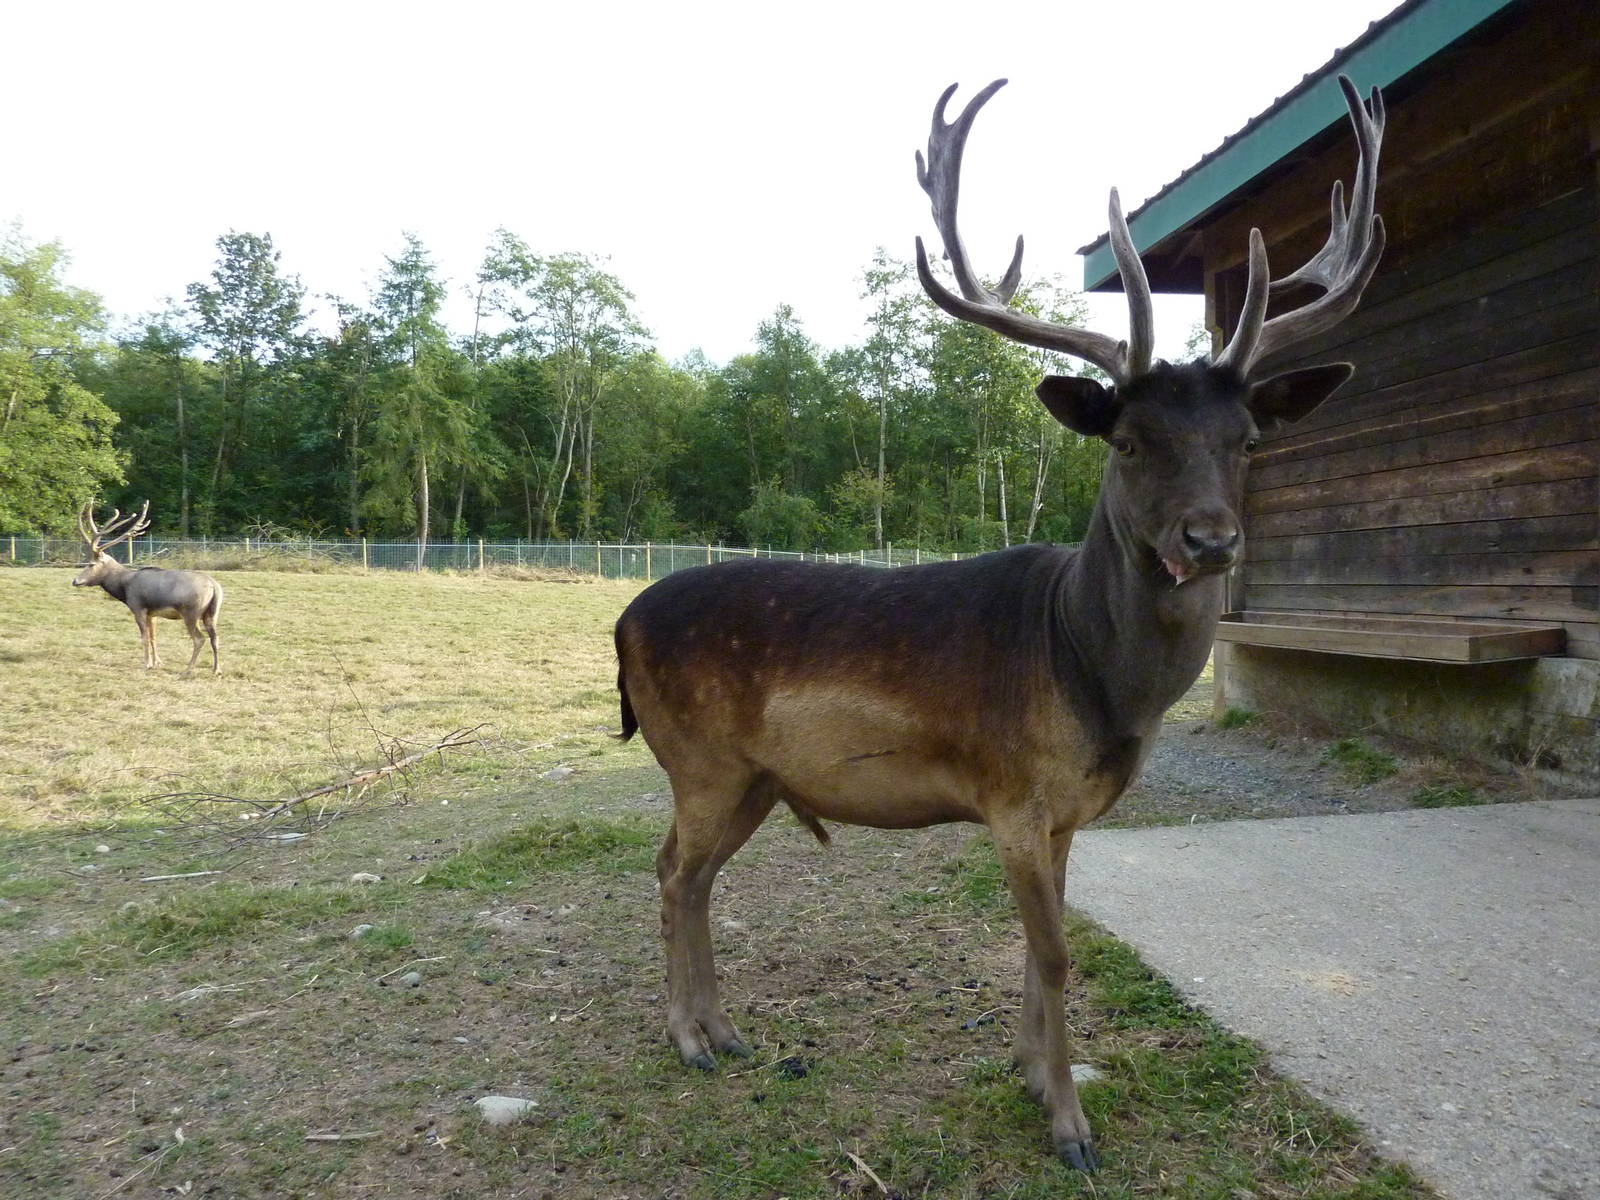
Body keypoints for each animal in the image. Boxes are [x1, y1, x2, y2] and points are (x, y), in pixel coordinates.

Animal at [72, 501, 224, 675]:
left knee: (199, 638)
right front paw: (158, 662)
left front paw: (147, 664)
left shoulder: (138, 607)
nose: (75, 581)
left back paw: (189, 669)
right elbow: (153, 636)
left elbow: (144, 637)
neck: (124, 588)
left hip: (190, 612)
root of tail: (214, 587)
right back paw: (217, 669)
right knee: (215, 638)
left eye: (91, 564)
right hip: (212, 613)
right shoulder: (152, 612)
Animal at [613, 75, 1384, 1171]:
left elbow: (1038, 943)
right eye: (1129, 438)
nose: (1209, 537)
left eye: (1245, 440)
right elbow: (1056, 952)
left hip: (752, 777)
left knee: (694, 874)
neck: (1093, 677)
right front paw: (1069, 1125)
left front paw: (1030, 1074)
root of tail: (619, 624)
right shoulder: (1013, 792)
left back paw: (724, 1030)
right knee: (673, 871)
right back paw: (689, 1040)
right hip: (702, 758)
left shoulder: (1064, 814)